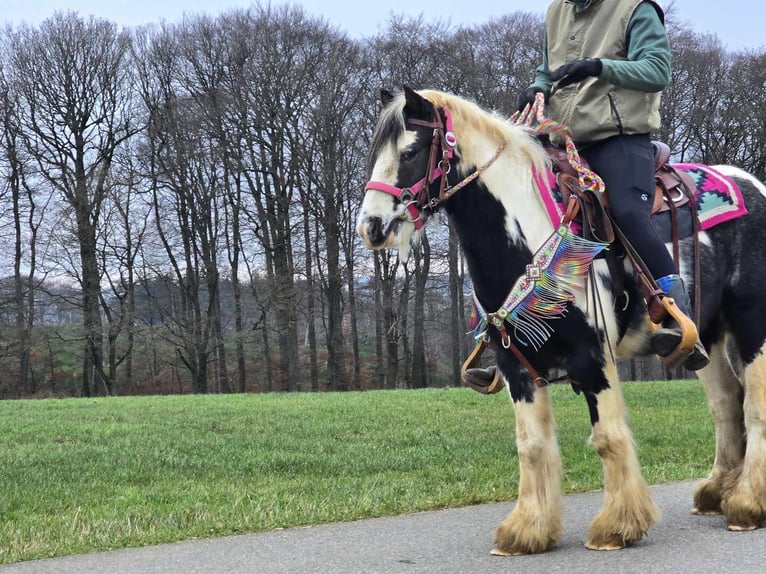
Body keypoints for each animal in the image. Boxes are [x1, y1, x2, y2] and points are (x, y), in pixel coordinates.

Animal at [356, 86, 766, 560]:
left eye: (410, 151)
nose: (371, 226)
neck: (528, 239)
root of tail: (753, 186)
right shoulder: (516, 366)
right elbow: (531, 445)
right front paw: (526, 531)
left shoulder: (593, 357)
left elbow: (608, 437)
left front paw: (617, 526)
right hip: (705, 335)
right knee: (725, 401)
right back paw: (718, 492)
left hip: (752, 322)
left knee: (753, 403)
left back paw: (747, 504)